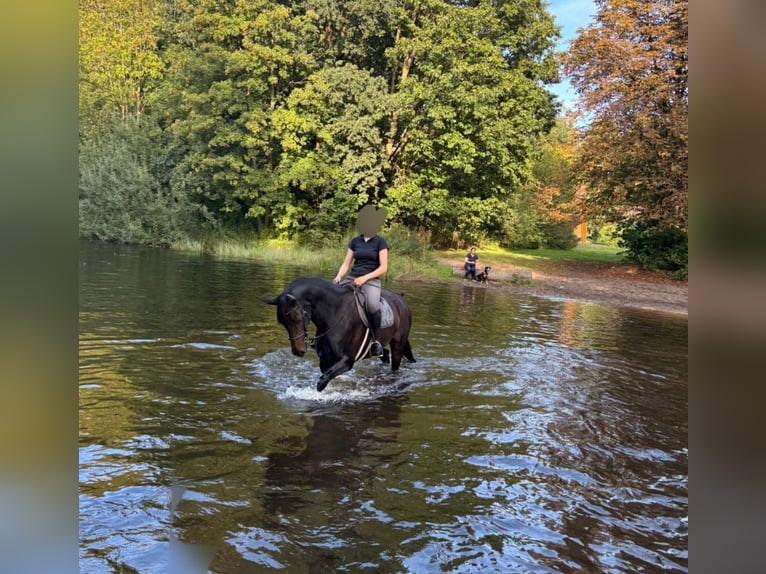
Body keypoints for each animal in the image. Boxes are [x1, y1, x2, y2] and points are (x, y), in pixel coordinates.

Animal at [261, 277, 416, 392]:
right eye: (283, 322)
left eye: (297, 318)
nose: (298, 351)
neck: (335, 313)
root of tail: (400, 299)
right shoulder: (325, 359)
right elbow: (327, 377)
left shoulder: (347, 360)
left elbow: (322, 382)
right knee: (384, 354)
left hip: (398, 344)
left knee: (395, 364)